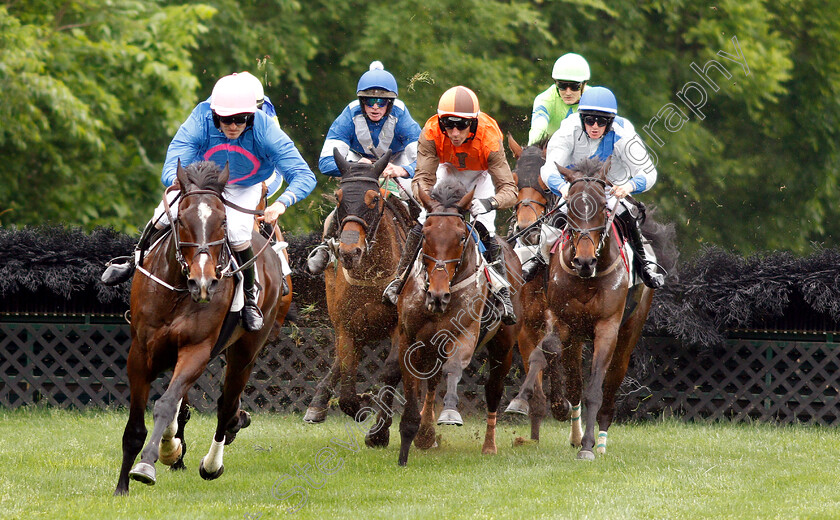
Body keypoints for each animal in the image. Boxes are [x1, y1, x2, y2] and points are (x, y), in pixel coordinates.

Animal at [115, 161, 290, 496]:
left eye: (223, 221)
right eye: (181, 219)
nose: (204, 282)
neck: (177, 291)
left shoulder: (197, 350)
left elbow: (167, 404)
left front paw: (147, 466)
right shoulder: (140, 353)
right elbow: (137, 426)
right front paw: (122, 487)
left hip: (245, 352)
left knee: (226, 405)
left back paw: (212, 462)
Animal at [304, 147, 408, 446]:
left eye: (374, 198)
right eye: (339, 197)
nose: (350, 252)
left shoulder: (400, 325)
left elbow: (391, 371)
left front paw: (379, 431)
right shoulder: (347, 327)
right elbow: (348, 389)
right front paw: (361, 406)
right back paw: (317, 404)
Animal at [398, 179, 520, 468]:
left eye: (461, 237)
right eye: (425, 236)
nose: (438, 296)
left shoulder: (466, 333)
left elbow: (454, 368)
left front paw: (450, 412)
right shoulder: (409, 339)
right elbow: (413, 386)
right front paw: (411, 436)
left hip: (504, 347)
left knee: (493, 389)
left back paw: (489, 445)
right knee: (431, 383)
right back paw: (426, 434)